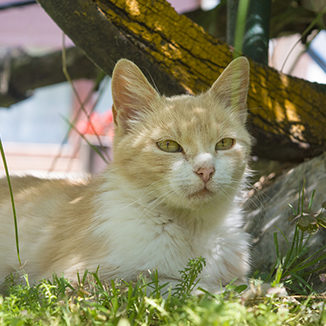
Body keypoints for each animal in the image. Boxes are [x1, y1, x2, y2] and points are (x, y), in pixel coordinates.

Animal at [0, 56, 252, 292]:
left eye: (225, 143)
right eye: (169, 145)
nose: (206, 170)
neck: (192, 228)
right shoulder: (73, 278)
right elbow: (166, 284)